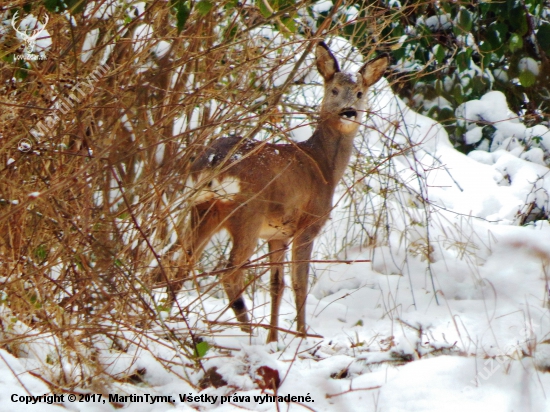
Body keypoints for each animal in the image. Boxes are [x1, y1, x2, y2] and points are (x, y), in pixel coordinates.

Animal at [175, 41, 390, 342]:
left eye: (359, 93)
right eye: (334, 90)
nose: (349, 112)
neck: (323, 166)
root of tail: (212, 162)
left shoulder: (277, 234)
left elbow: (277, 283)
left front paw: (274, 339)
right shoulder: (308, 223)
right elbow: (300, 282)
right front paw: (302, 335)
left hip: (203, 210)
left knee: (181, 261)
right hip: (248, 214)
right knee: (229, 272)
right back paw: (247, 332)